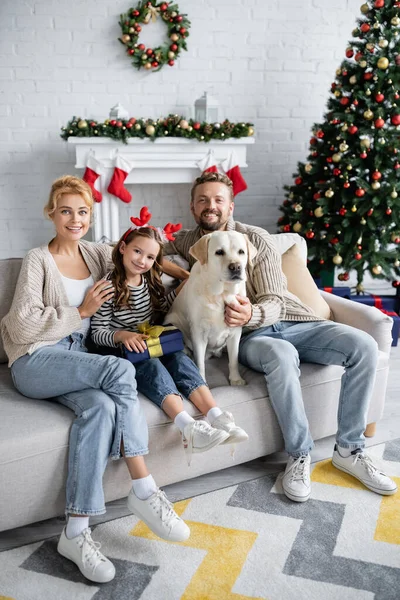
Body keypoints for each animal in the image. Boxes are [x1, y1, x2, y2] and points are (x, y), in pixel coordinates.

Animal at [166, 230, 256, 384]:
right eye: (219, 252)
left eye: (241, 252)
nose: (236, 267)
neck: (221, 294)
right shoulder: (198, 333)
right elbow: (200, 363)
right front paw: (202, 379)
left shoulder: (235, 331)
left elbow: (234, 359)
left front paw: (236, 379)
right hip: (172, 322)